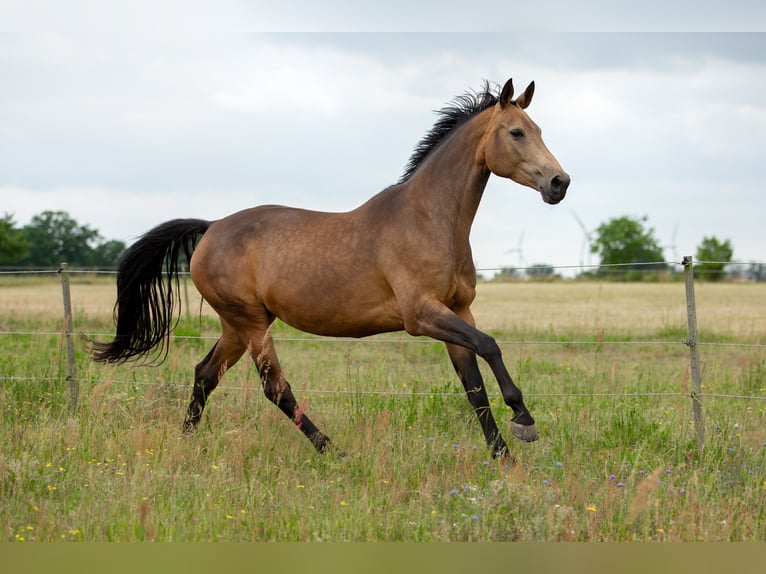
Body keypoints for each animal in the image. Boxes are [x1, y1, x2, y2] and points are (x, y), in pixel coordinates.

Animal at [92, 78, 570, 458]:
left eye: (538, 131)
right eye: (516, 132)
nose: (559, 183)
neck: (429, 219)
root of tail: (211, 228)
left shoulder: (458, 310)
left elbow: (473, 384)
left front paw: (502, 456)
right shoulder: (421, 315)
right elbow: (490, 346)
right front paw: (523, 421)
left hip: (240, 324)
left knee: (206, 374)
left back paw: (186, 440)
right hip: (250, 324)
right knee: (275, 388)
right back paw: (332, 451)